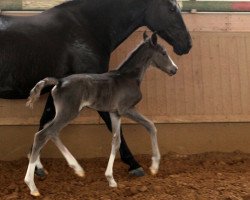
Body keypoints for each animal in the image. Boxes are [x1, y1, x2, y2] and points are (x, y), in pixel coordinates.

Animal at [0, 0, 191, 177]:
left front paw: (37, 166)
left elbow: (44, 122)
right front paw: (134, 164)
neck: (87, 27)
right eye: (172, 8)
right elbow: (113, 127)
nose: (187, 44)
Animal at [24, 32, 178, 195]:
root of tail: (59, 81)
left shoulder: (115, 113)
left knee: (51, 132)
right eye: (164, 52)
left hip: (63, 113)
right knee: (42, 135)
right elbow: (150, 125)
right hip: (68, 112)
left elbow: (116, 141)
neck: (129, 77)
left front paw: (111, 179)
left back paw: (77, 169)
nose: (175, 69)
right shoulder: (126, 109)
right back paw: (32, 186)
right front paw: (154, 166)